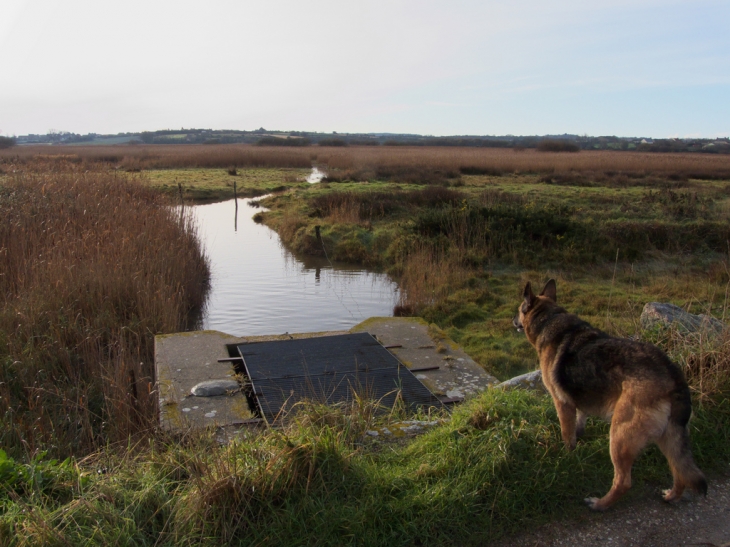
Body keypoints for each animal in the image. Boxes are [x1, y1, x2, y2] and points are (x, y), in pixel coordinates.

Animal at [512, 280, 704, 512]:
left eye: (519, 309)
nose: (513, 321)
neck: (549, 318)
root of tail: (673, 375)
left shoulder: (562, 403)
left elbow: (567, 434)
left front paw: (569, 455)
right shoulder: (579, 402)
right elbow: (580, 420)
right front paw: (579, 436)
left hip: (619, 435)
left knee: (624, 482)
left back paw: (599, 504)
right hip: (669, 436)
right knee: (680, 470)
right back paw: (671, 496)